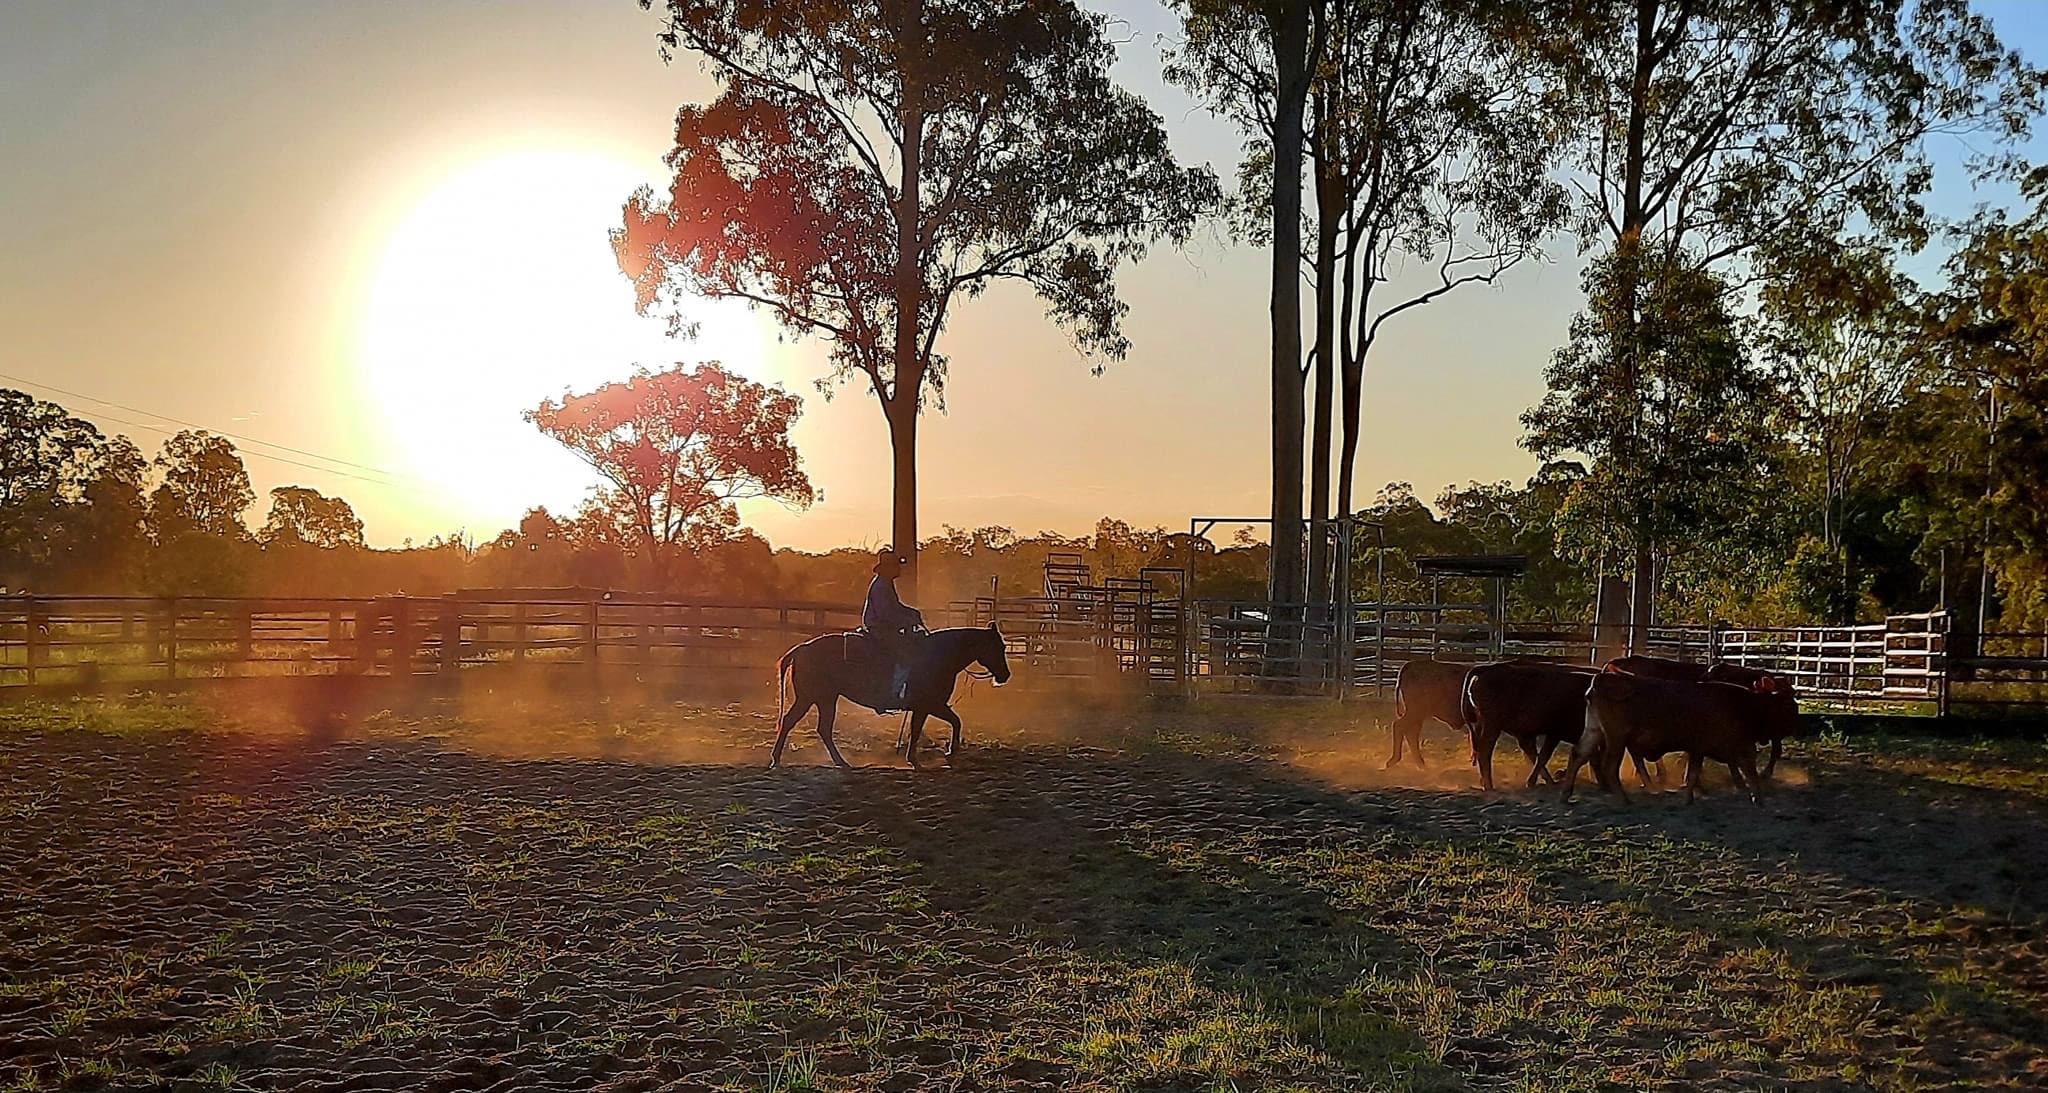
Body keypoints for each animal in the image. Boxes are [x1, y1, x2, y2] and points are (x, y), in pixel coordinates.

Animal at [771, 624, 1012, 769]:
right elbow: (928, 727)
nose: (1005, 675)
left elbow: (950, 722)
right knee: (794, 723)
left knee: (817, 728)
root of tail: (802, 648)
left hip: (824, 698)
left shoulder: (931, 705)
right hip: (813, 697)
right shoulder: (928, 705)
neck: (939, 656)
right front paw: (937, 754)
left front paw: (946, 752)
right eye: (997, 647)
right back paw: (779, 759)